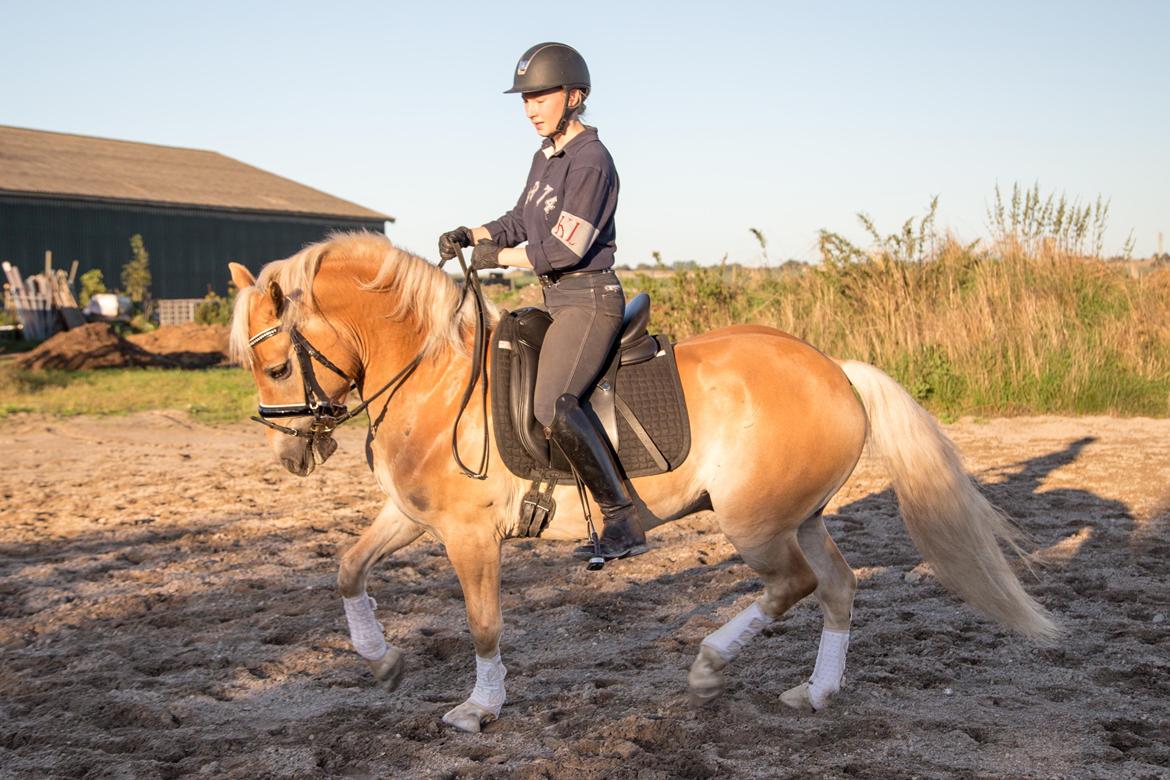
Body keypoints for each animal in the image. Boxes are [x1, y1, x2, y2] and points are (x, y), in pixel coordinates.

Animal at [228, 231, 1062, 734]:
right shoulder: (410, 513)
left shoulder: (469, 534)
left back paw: (709, 664)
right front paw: (383, 661)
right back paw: (816, 692)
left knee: (791, 586)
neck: (435, 377)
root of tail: (837, 372)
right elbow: (347, 570)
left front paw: (479, 707)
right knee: (839, 586)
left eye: (275, 363)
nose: (290, 459)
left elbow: (484, 624)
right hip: (799, 515)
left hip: (755, 523)